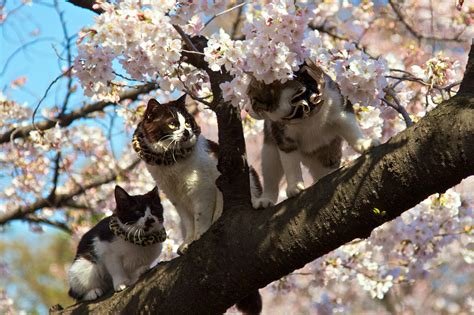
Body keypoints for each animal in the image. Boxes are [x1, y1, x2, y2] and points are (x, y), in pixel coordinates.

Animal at [246, 61, 380, 210]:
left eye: (252, 99)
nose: (246, 109)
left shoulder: (341, 108)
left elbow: (351, 129)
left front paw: (364, 143)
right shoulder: (283, 137)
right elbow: (290, 164)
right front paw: (295, 186)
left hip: (328, 154)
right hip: (270, 152)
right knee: (271, 178)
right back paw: (265, 199)